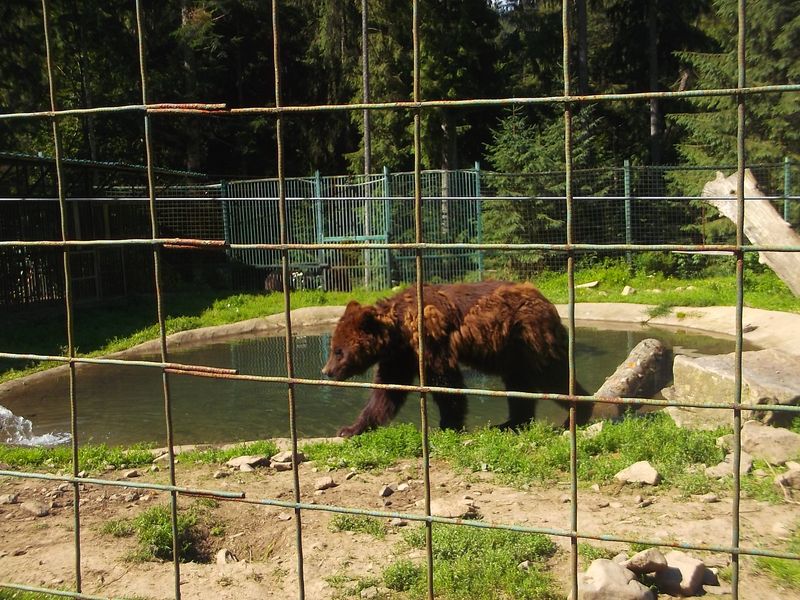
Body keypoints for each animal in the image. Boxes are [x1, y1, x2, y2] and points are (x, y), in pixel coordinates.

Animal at [321, 281, 593, 437]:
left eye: (338, 350)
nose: (327, 371)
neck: (399, 331)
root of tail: (546, 300)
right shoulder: (400, 357)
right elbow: (387, 392)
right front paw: (351, 428)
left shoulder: (430, 341)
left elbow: (445, 383)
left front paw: (448, 425)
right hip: (512, 353)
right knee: (519, 385)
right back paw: (510, 422)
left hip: (530, 338)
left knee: (552, 376)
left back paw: (575, 415)